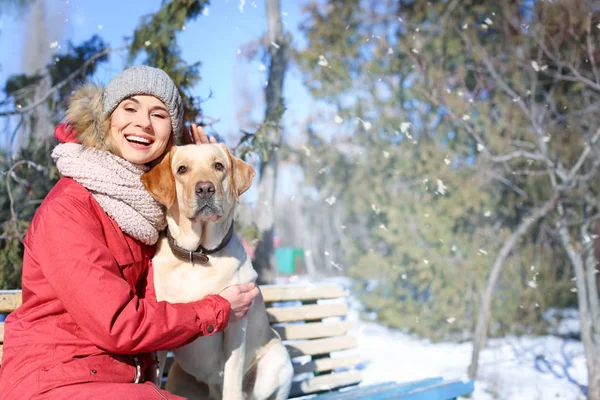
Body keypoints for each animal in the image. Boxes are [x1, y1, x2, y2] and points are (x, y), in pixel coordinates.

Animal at [139, 145, 292, 400]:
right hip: (179, 375)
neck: (198, 257)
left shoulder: (236, 325)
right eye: (182, 169)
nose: (205, 189)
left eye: (218, 166)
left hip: (277, 361)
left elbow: (232, 378)